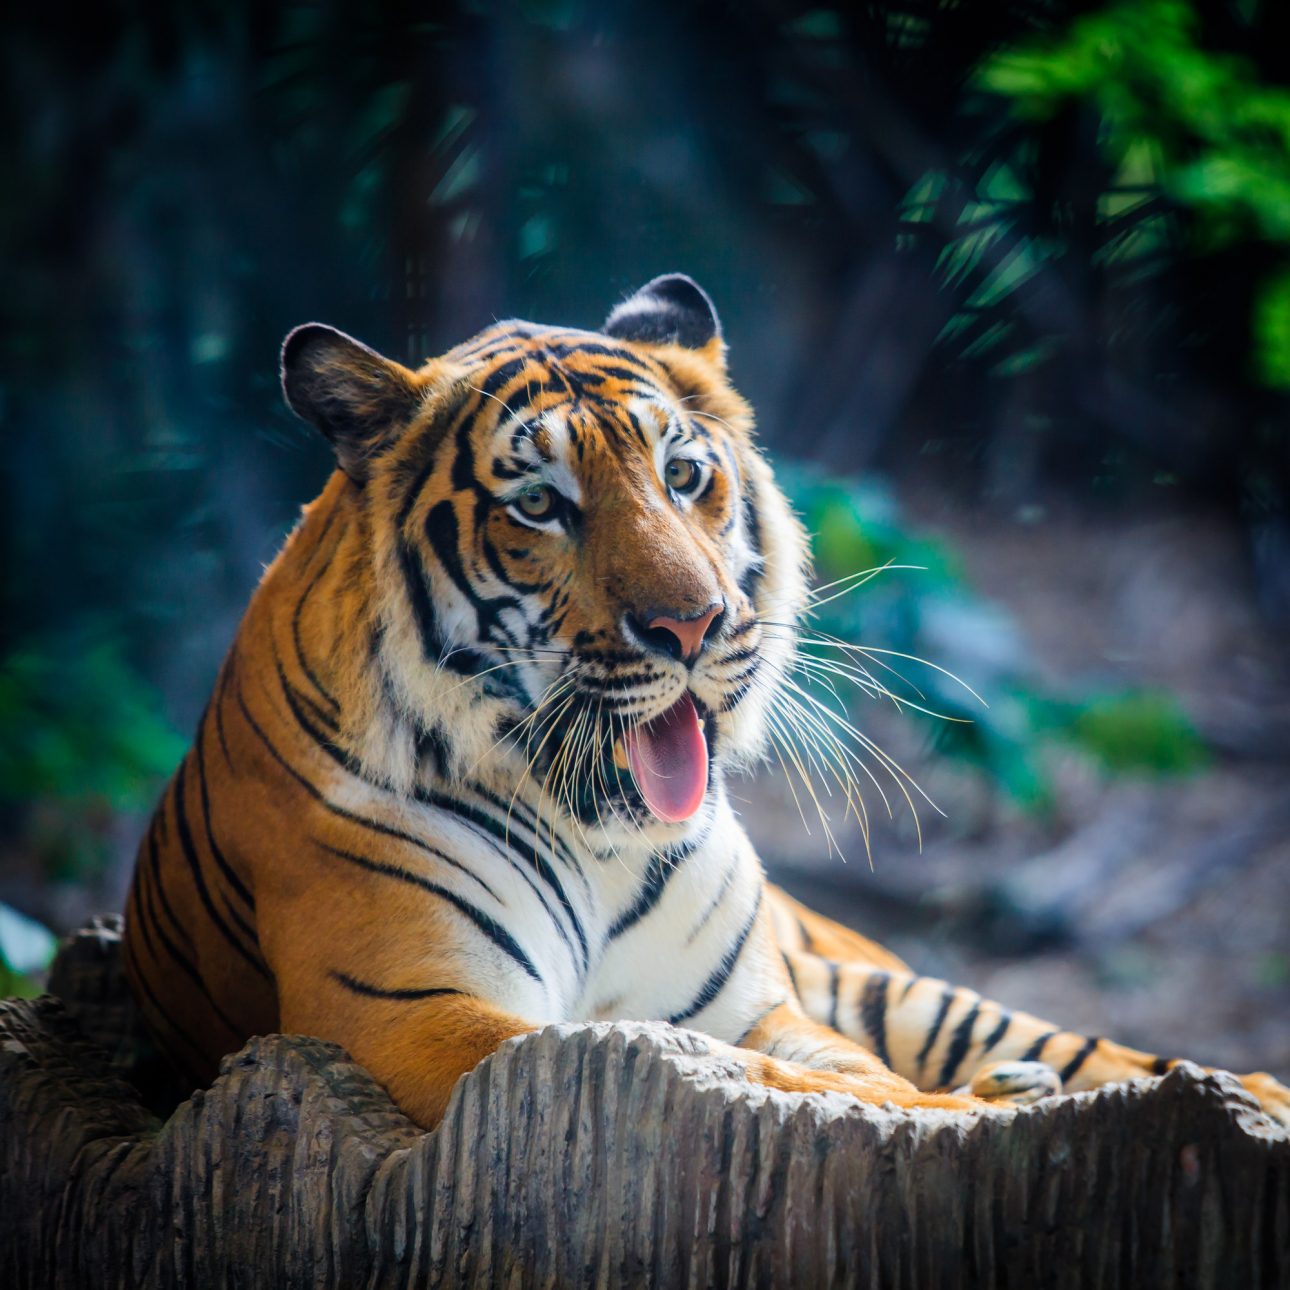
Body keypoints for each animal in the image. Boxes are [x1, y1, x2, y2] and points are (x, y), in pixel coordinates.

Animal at [121, 272, 1290, 1130]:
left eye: (683, 477)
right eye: (538, 505)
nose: (690, 627)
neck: (595, 834)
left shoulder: (754, 1001)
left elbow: (833, 1068)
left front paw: (955, 1099)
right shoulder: (412, 1013)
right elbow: (788, 1078)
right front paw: (958, 1109)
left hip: (893, 979)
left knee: (1090, 1048)